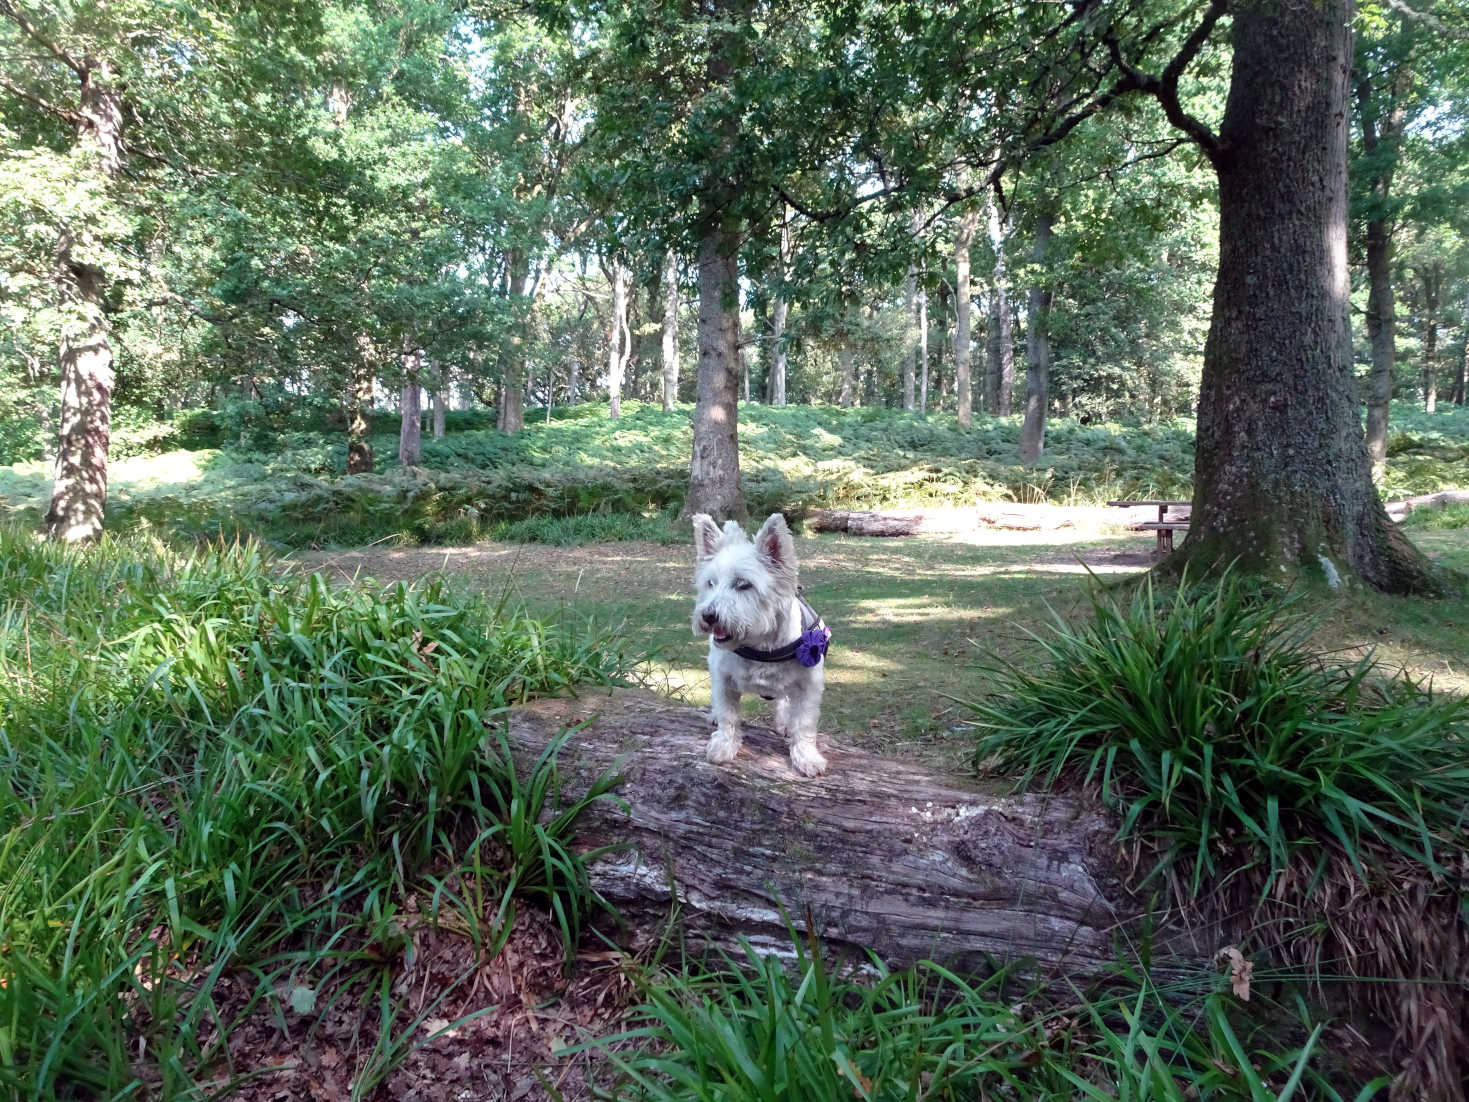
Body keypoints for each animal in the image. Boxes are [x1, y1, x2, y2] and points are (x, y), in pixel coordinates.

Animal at [687, 517, 828, 775]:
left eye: (743, 584)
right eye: (710, 583)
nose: (708, 615)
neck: (760, 645)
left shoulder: (810, 684)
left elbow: (804, 722)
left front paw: (807, 757)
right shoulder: (724, 679)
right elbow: (728, 715)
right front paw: (723, 745)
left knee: (785, 699)